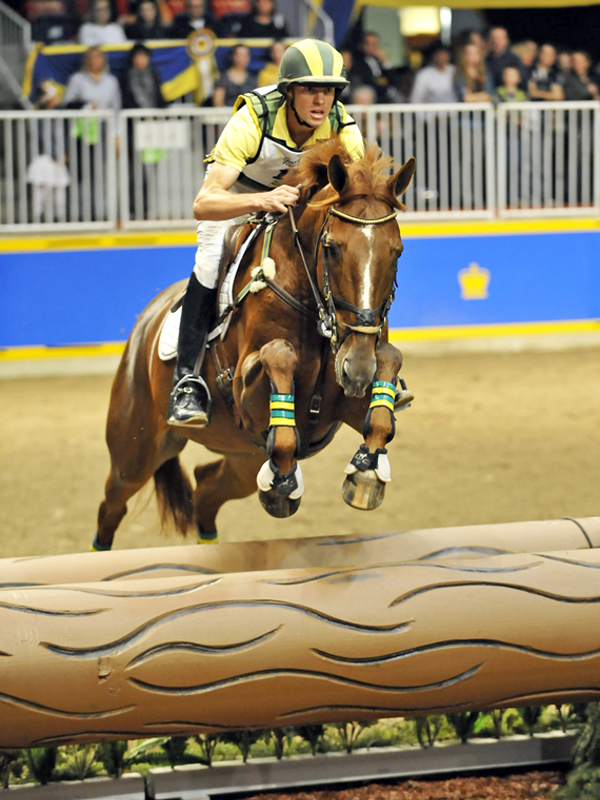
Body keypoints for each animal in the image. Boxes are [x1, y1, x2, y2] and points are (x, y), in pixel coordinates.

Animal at [94, 140, 416, 551]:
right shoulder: (245, 395)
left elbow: (387, 372)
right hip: (135, 451)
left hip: (242, 461)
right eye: (331, 248)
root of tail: (147, 319)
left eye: (397, 251)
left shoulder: (343, 400)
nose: (356, 369)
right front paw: (284, 485)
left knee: (206, 490)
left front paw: (365, 473)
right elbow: (280, 357)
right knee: (111, 506)